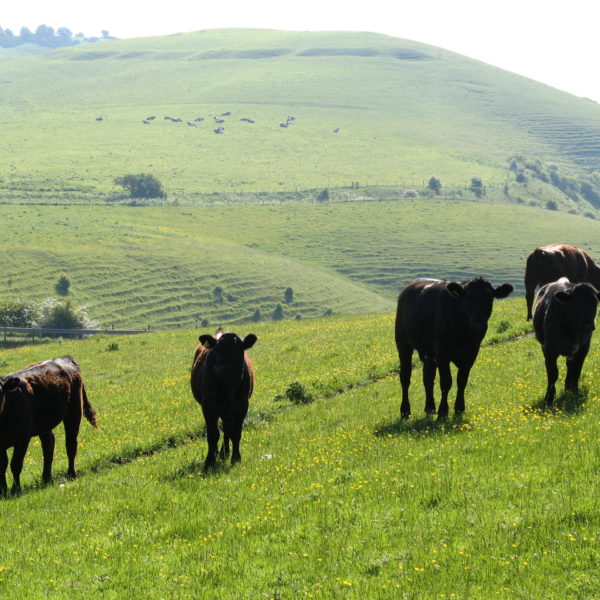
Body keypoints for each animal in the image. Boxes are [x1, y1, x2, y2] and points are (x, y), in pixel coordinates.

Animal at [0, 356, 97, 492]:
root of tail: (64, 358)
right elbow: (2, 466)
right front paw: (3, 490)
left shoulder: (23, 438)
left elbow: (16, 464)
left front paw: (16, 489)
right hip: (44, 425)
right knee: (48, 446)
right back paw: (46, 478)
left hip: (74, 411)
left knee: (71, 444)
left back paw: (71, 473)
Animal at [190, 330, 255, 472]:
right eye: (216, 351)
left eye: (236, 351)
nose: (220, 368)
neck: (228, 386)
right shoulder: (208, 406)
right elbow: (213, 435)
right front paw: (209, 461)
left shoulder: (242, 406)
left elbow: (235, 433)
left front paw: (236, 458)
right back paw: (219, 453)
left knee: (227, 429)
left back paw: (225, 452)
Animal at [396, 276, 512, 418]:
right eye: (467, 298)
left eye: (489, 297)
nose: (478, 322)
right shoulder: (442, 352)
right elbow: (446, 382)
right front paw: (443, 411)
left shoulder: (472, 353)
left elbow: (462, 380)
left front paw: (459, 408)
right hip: (403, 343)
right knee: (405, 376)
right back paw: (405, 410)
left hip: (428, 351)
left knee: (428, 377)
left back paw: (430, 408)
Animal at [532, 278, 596, 406]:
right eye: (575, 304)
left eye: (595, 303)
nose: (589, 325)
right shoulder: (550, 350)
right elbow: (553, 374)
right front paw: (548, 399)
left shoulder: (583, 349)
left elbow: (576, 371)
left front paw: (575, 393)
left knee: (570, 367)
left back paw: (568, 388)